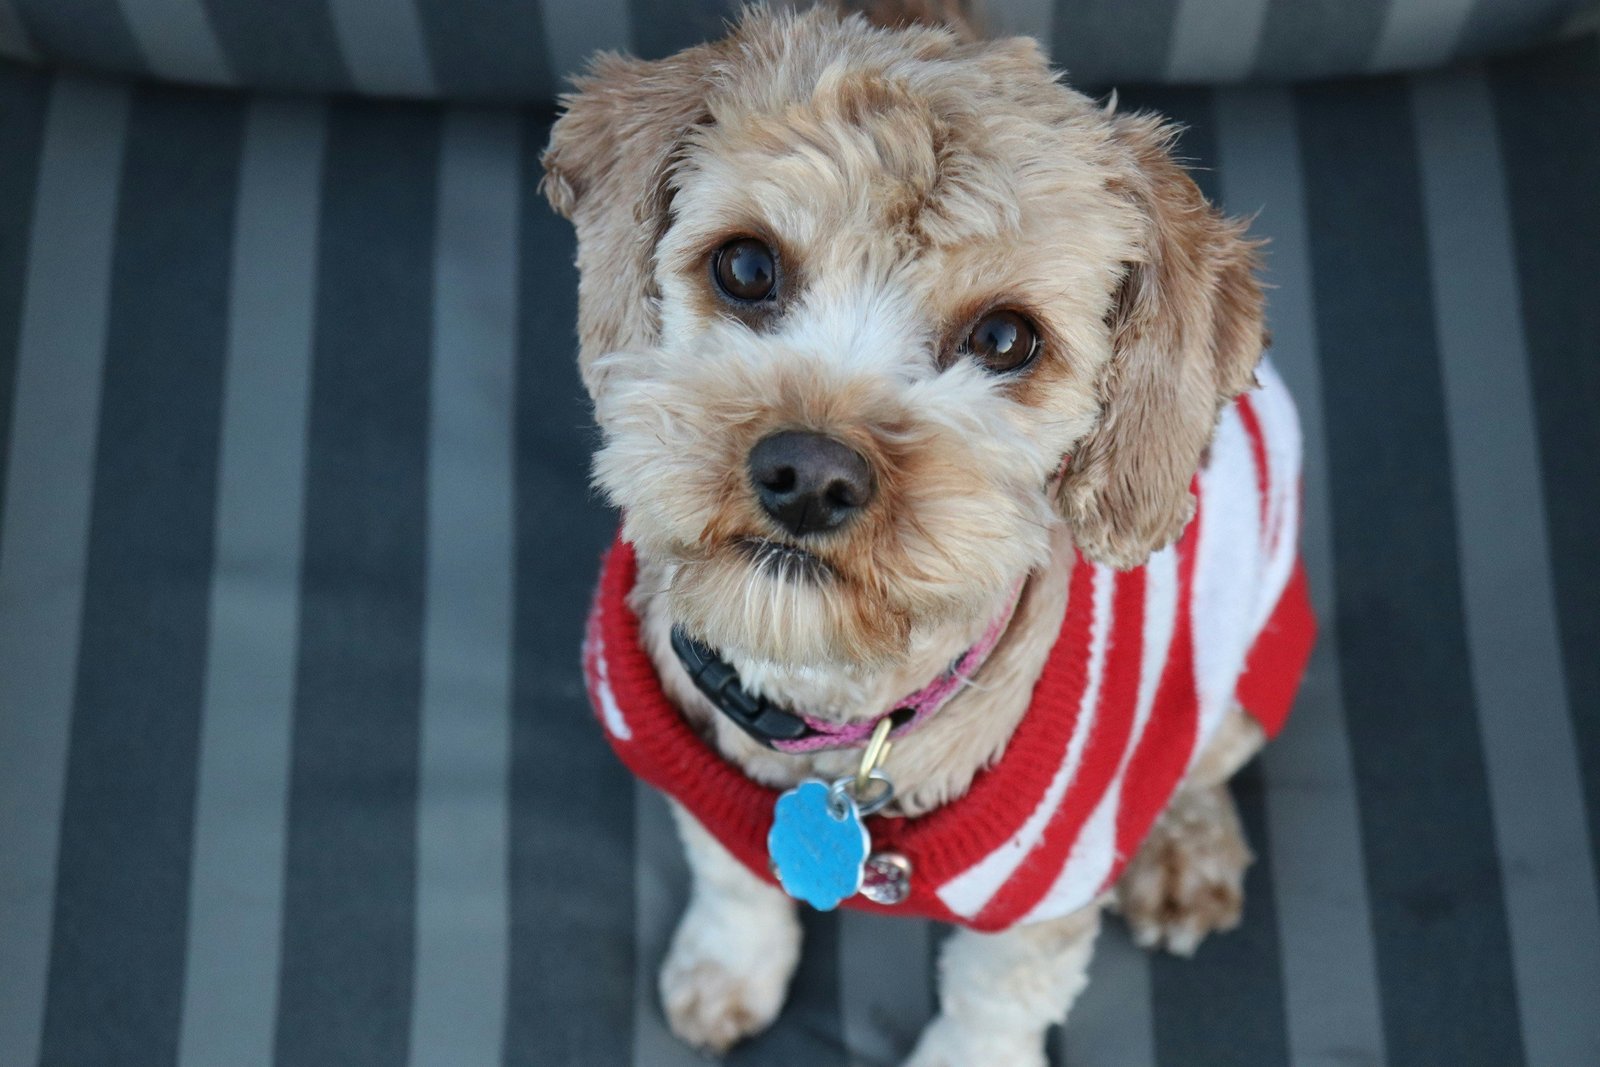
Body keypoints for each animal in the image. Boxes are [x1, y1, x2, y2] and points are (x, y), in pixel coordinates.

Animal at [544, 4, 1318, 1062]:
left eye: (1004, 339)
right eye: (745, 265)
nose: (809, 476)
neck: (834, 716)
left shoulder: (1040, 901)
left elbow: (991, 1003)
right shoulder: (698, 784)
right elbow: (734, 878)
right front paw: (726, 972)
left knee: (1202, 759)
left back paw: (1181, 848)